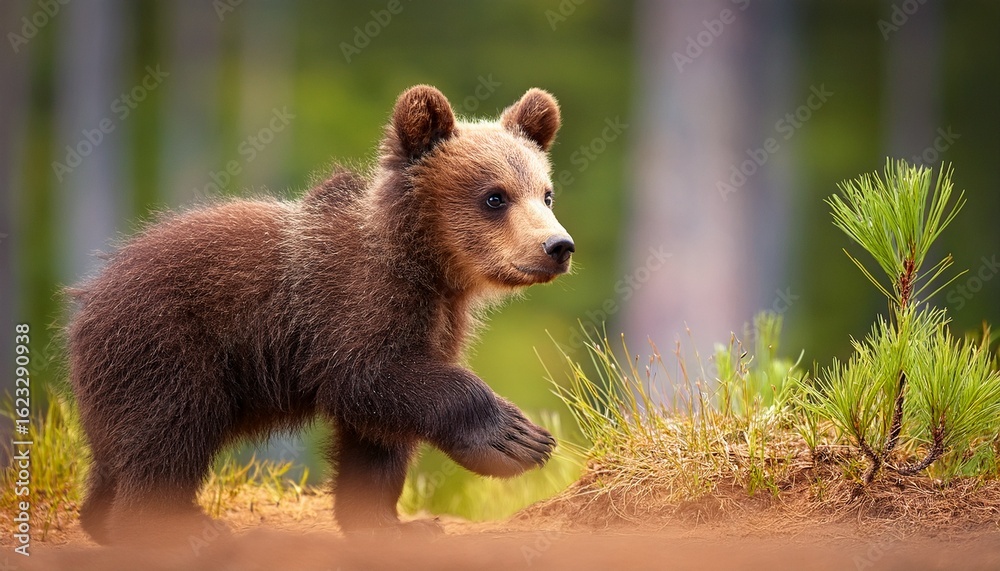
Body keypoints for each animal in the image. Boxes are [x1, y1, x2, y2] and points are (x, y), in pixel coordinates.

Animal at [67, 84, 575, 544]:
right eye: (495, 197)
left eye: (546, 194)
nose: (558, 246)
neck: (427, 268)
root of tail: (90, 294)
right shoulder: (350, 306)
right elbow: (374, 378)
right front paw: (518, 438)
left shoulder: (435, 321)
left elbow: (377, 438)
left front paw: (390, 524)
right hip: (167, 347)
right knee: (169, 432)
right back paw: (175, 529)